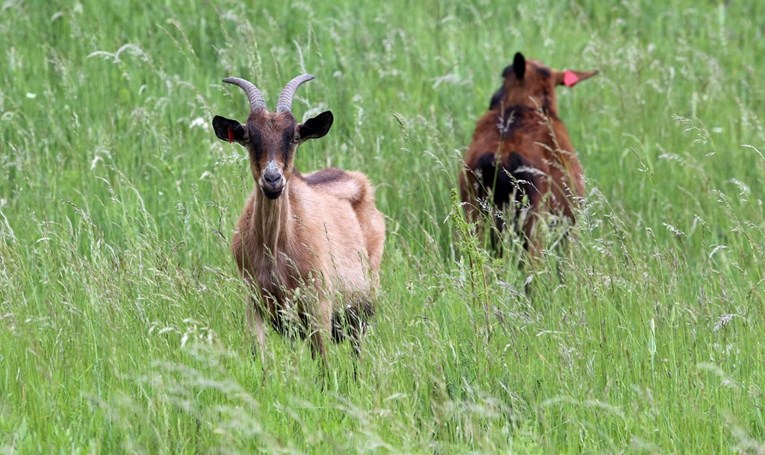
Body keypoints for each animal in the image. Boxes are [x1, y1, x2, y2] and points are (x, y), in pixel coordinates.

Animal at [212, 75, 384, 366]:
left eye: (293, 137)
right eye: (248, 137)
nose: (272, 180)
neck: (277, 248)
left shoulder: (319, 303)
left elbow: (323, 362)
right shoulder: (255, 301)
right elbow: (259, 356)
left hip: (362, 303)